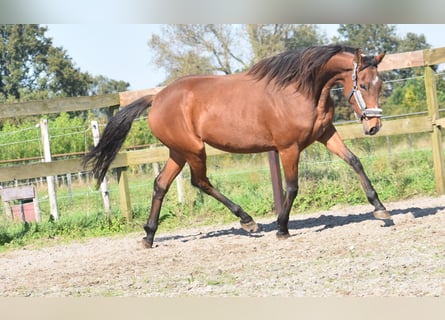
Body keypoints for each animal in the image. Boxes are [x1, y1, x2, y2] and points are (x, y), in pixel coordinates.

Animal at [82, 44, 388, 248]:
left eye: (380, 83)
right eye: (362, 85)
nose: (373, 127)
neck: (300, 91)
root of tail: (156, 99)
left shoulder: (326, 134)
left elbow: (354, 161)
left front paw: (380, 208)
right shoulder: (288, 148)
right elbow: (292, 186)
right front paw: (282, 228)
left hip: (177, 152)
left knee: (161, 184)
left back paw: (148, 235)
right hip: (193, 150)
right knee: (200, 181)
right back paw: (248, 221)